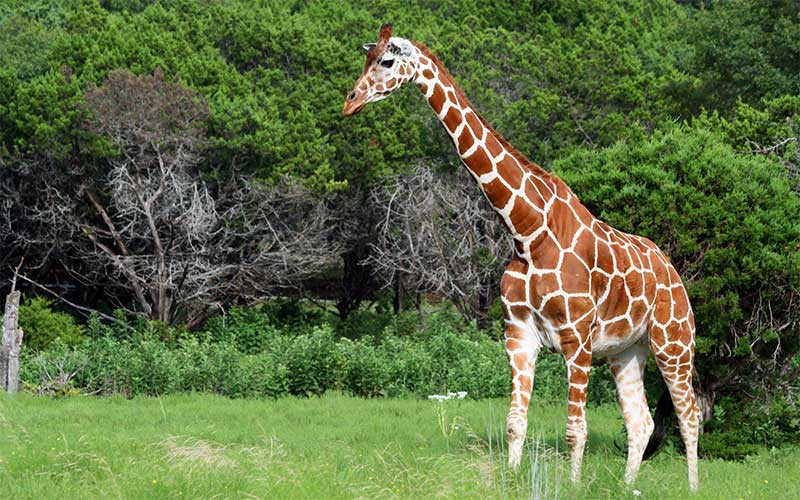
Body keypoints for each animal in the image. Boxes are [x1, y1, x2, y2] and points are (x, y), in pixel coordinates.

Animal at [343, 24, 701, 491]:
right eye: (366, 59)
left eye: (386, 61)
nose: (350, 101)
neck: (528, 232)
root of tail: (674, 273)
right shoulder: (518, 335)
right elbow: (516, 422)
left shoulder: (576, 339)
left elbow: (575, 429)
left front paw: (572, 486)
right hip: (627, 351)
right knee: (641, 422)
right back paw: (627, 487)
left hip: (674, 344)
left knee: (689, 416)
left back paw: (693, 487)